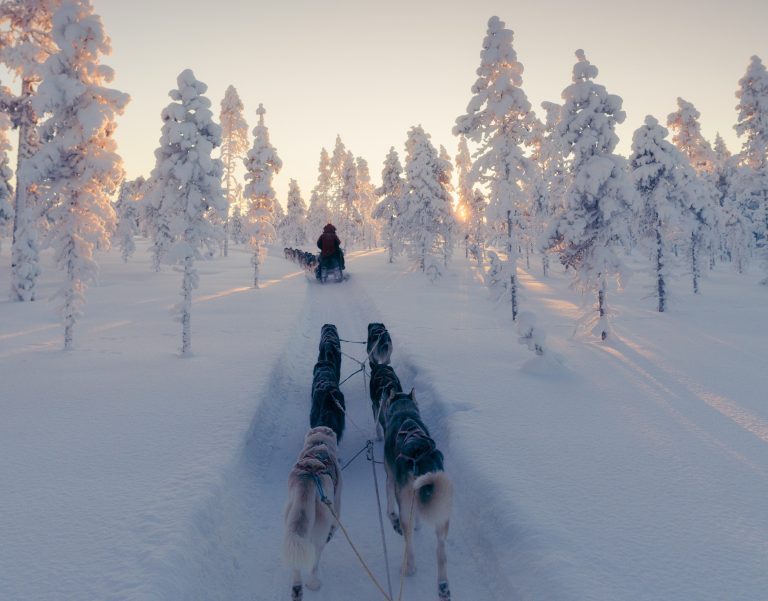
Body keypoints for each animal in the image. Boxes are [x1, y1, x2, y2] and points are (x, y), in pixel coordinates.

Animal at [282, 426, 342, 600]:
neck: (318, 445)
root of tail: (308, 478)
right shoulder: (337, 507)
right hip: (320, 533)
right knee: (315, 562)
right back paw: (313, 584)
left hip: (290, 520)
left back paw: (297, 590)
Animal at [382, 390, 452, 600]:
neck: (404, 410)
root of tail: (419, 455)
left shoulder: (390, 480)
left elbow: (389, 503)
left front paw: (392, 516)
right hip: (442, 508)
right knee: (440, 550)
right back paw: (443, 585)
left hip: (405, 506)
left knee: (409, 540)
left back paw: (409, 566)